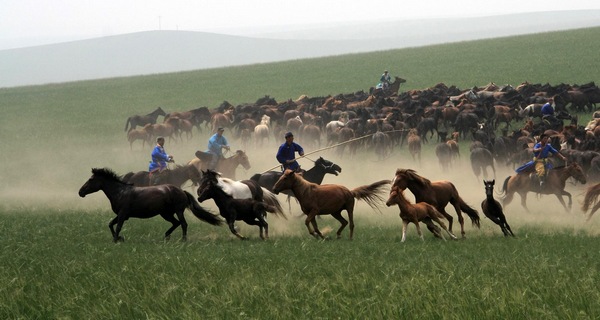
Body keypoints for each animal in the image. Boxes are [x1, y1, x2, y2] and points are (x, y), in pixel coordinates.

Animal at [78, 169, 221, 241]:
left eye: (90, 180)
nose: (80, 192)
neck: (120, 192)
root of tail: (182, 191)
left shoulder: (123, 214)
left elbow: (117, 227)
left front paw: (116, 239)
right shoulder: (122, 215)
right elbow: (110, 224)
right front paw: (119, 238)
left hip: (178, 211)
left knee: (183, 224)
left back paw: (183, 240)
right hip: (165, 213)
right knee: (176, 223)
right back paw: (166, 236)